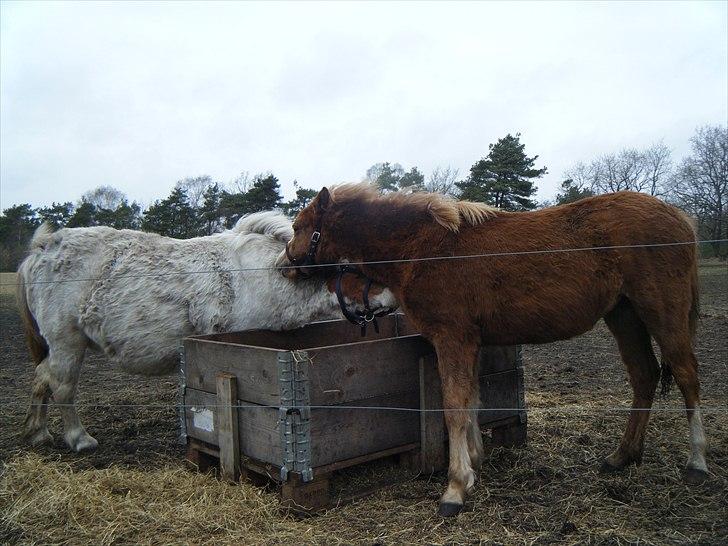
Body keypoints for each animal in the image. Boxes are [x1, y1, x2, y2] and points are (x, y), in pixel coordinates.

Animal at [17, 210, 396, 452]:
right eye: (355, 268)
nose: (393, 297)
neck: (265, 275)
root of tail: (41, 249)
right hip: (67, 343)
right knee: (62, 386)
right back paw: (79, 438)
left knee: (41, 378)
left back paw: (38, 432)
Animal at [276, 183, 708, 516]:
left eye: (298, 227)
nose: (283, 266)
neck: (423, 247)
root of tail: (679, 216)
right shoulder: (472, 342)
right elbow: (471, 401)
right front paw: (473, 464)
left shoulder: (452, 339)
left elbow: (454, 406)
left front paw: (455, 488)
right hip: (624, 315)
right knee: (644, 376)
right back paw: (623, 456)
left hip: (662, 313)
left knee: (687, 376)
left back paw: (697, 462)